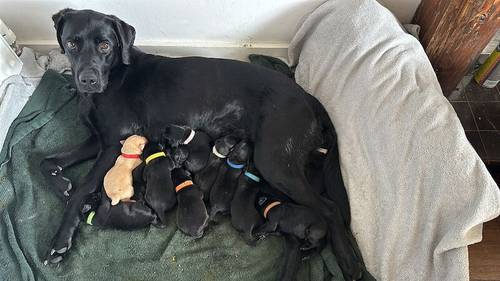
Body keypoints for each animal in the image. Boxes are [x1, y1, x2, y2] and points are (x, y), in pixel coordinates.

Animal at [39, 7, 360, 278]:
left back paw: (348, 261)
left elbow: (82, 188)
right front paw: (60, 183)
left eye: (105, 45)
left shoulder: (112, 144)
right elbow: (44, 160)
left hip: (274, 162)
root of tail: (306, 95)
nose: (87, 80)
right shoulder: (97, 141)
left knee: (330, 208)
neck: (114, 75)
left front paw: (60, 239)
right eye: (72, 44)